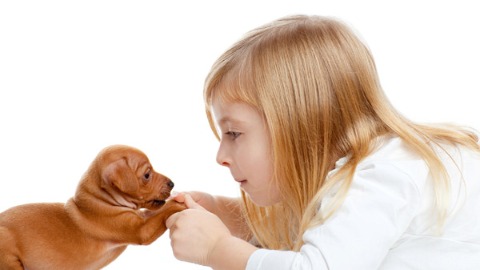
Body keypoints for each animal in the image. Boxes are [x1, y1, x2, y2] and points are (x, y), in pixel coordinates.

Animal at [0, 144, 186, 268]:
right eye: (147, 175)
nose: (172, 183)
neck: (102, 200)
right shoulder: (140, 230)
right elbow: (164, 211)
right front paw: (180, 202)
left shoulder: (139, 217)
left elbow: (156, 211)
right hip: (8, 255)